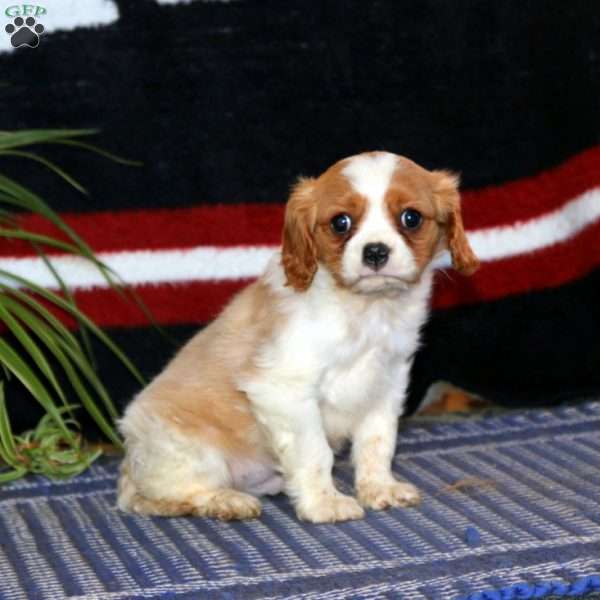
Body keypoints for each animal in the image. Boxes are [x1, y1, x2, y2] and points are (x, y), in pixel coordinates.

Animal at [117, 152, 478, 524]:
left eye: (411, 218)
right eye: (341, 223)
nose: (375, 251)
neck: (367, 310)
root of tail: (130, 464)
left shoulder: (385, 386)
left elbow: (378, 443)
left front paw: (379, 488)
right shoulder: (284, 391)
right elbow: (316, 453)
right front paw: (324, 504)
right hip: (193, 452)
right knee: (166, 495)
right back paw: (226, 500)